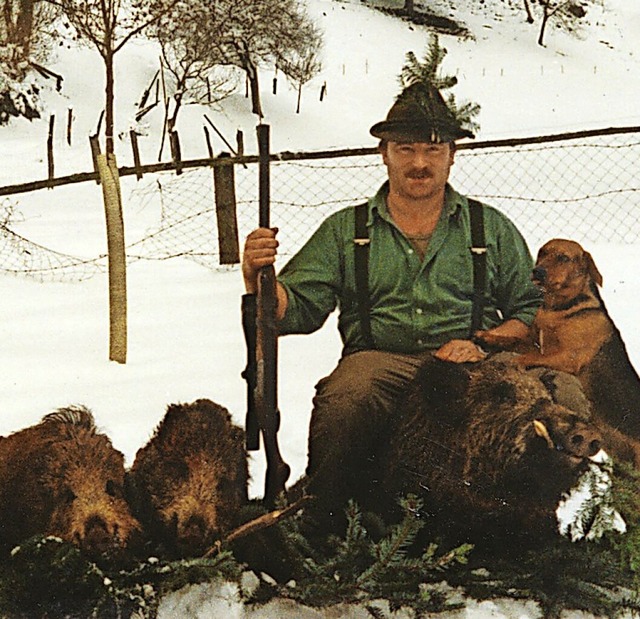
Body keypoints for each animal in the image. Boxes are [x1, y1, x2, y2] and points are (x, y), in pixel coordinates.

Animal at [478, 240, 640, 444]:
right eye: (542, 253)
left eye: (563, 258)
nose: (537, 271)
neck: (555, 308)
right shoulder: (535, 344)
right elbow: (515, 341)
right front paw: (488, 336)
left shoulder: (569, 357)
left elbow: (527, 357)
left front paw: (514, 362)